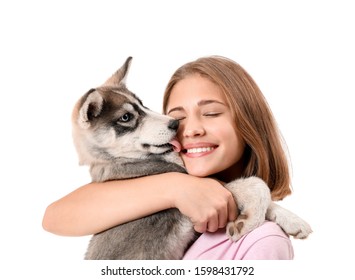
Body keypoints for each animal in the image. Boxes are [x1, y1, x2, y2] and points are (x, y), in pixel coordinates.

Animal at [71, 57, 312, 260]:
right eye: (126, 117)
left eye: (143, 105)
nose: (175, 123)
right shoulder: (201, 192)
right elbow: (255, 183)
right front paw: (250, 220)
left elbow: (259, 190)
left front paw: (293, 220)